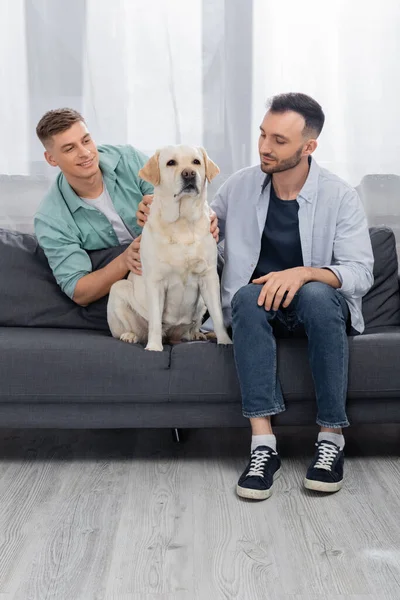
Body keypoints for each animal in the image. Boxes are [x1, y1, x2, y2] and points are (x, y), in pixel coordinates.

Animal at [107, 146, 231, 352]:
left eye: (196, 162)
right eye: (171, 163)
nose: (189, 174)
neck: (182, 222)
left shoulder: (209, 277)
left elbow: (218, 316)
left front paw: (226, 341)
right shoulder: (155, 281)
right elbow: (155, 321)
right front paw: (154, 347)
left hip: (201, 304)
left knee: (192, 326)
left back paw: (196, 334)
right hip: (118, 289)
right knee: (131, 329)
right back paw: (130, 335)